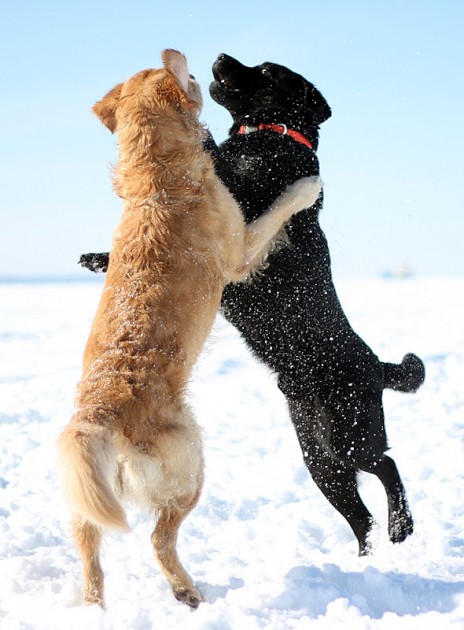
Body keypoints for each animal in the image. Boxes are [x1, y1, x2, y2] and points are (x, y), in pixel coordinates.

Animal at [80, 55, 424, 556]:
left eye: (266, 71)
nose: (220, 57)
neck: (270, 137)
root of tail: (378, 365)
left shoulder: (240, 224)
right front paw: (98, 258)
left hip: (349, 432)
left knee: (388, 467)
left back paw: (402, 526)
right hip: (319, 456)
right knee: (362, 516)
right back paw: (367, 561)